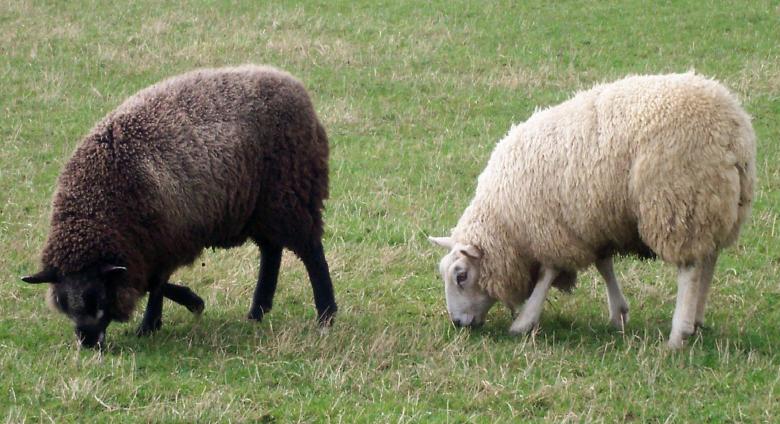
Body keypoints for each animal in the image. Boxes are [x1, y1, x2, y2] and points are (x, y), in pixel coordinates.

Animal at [21, 64, 337, 348]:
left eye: (97, 297)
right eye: (63, 302)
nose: (87, 343)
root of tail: (296, 87)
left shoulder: (163, 238)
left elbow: (155, 284)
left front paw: (152, 323)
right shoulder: (147, 247)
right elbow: (149, 281)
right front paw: (189, 302)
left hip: (291, 194)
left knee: (311, 252)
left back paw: (326, 315)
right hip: (260, 206)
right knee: (271, 252)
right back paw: (257, 311)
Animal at [430, 73, 756, 348]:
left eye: (461, 276)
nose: (457, 323)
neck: (507, 223)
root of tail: (732, 130)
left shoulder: (553, 227)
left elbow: (549, 272)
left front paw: (524, 320)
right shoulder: (591, 222)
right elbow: (604, 265)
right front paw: (618, 313)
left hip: (679, 200)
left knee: (689, 269)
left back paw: (679, 334)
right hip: (717, 203)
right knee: (709, 259)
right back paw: (696, 318)